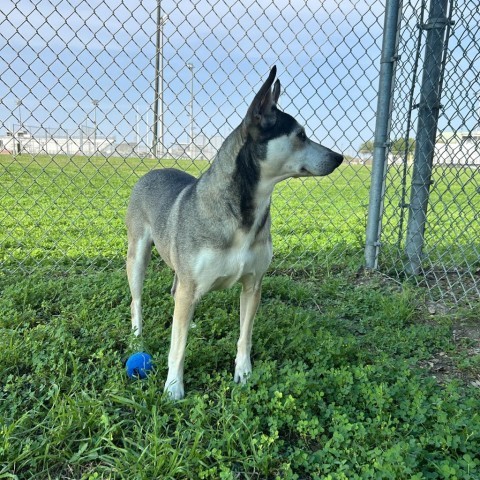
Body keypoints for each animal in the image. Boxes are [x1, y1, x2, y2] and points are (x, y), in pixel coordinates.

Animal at [125, 65, 344, 400]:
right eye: (300, 136)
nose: (339, 157)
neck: (244, 213)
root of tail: (152, 170)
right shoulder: (191, 282)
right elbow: (178, 347)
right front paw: (174, 386)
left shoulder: (253, 285)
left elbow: (244, 335)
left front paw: (244, 372)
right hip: (137, 255)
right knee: (138, 300)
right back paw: (138, 335)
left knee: (177, 295)